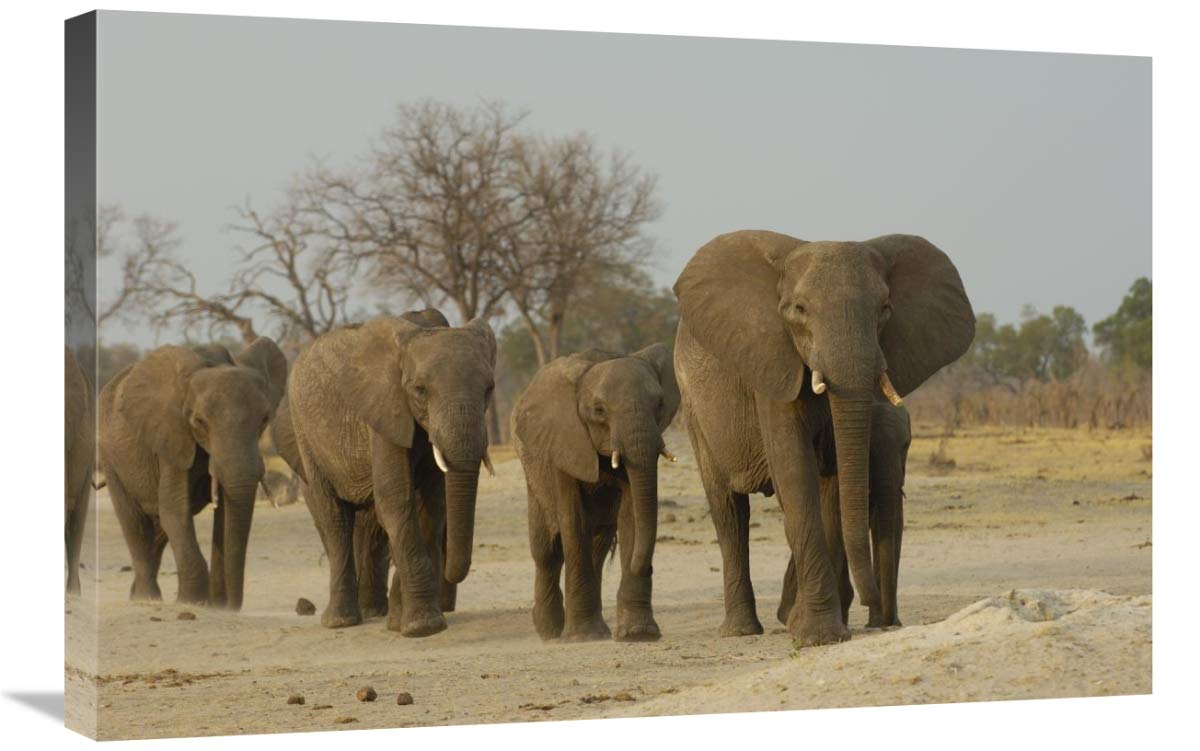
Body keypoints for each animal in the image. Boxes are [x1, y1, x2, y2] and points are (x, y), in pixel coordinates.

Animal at [97, 337, 287, 608]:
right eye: (199, 422)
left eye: (264, 419)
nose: (232, 606)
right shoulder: (171, 437)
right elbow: (175, 510)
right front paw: (192, 603)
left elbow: (223, 514)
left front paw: (217, 607)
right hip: (110, 456)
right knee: (134, 522)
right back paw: (147, 599)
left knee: (158, 530)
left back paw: (139, 596)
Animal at [287, 312, 496, 637]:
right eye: (420, 390)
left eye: (489, 389)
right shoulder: (383, 411)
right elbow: (396, 500)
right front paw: (423, 628)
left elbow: (431, 507)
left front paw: (401, 623)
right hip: (305, 436)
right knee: (334, 518)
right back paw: (340, 622)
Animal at [512, 344, 680, 642]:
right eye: (599, 410)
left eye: (660, 405)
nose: (646, 567)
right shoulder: (563, 442)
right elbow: (573, 520)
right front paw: (581, 637)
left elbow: (632, 515)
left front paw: (637, 634)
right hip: (532, 471)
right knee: (546, 550)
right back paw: (549, 631)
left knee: (598, 545)